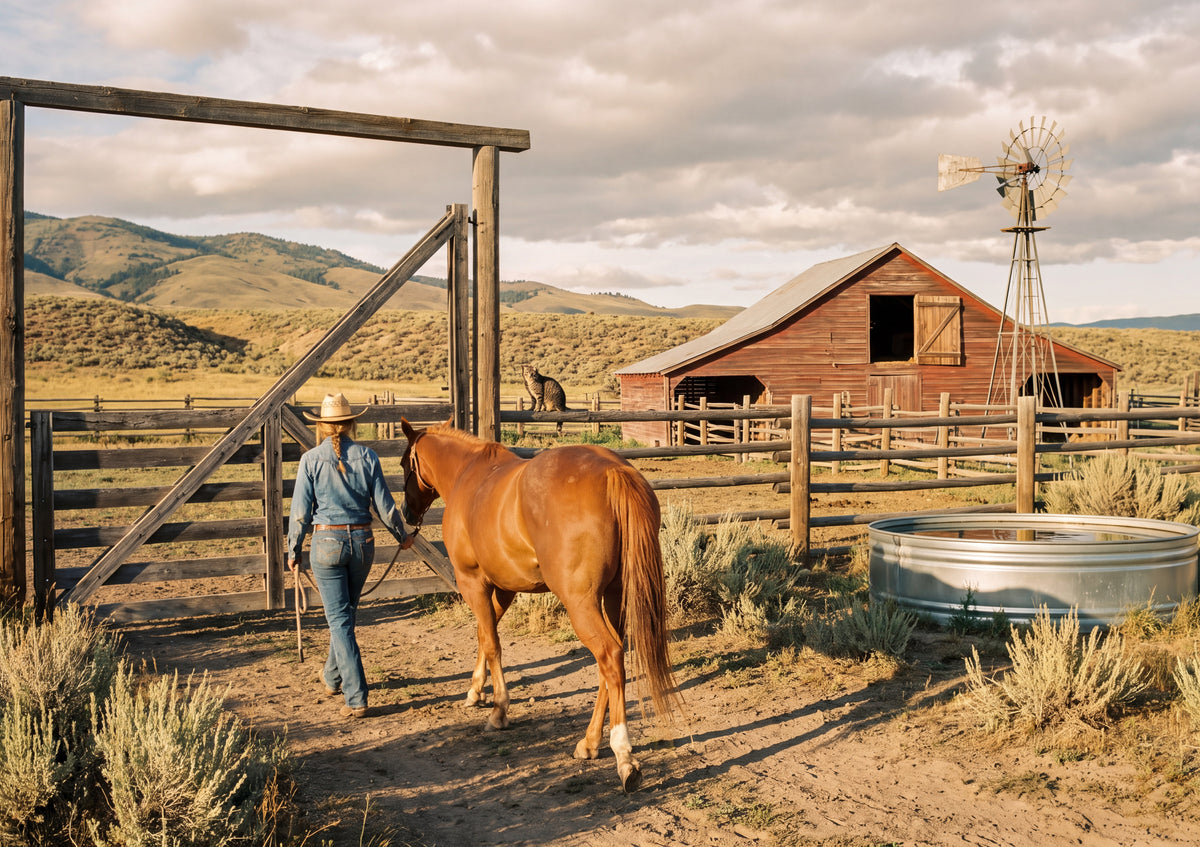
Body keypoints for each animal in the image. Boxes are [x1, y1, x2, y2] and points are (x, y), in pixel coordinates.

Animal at [399, 419, 681, 792]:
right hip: (613, 597)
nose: (407, 512)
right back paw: (589, 743)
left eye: (404, 464)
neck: (467, 475)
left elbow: (491, 643)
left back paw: (624, 757)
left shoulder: (473, 582)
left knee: (609, 656)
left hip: (581, 604)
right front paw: (475, 691)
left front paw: (499, 711)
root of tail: (614, 472)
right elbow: (483, 635)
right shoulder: (504, 589)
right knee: (611, 664)